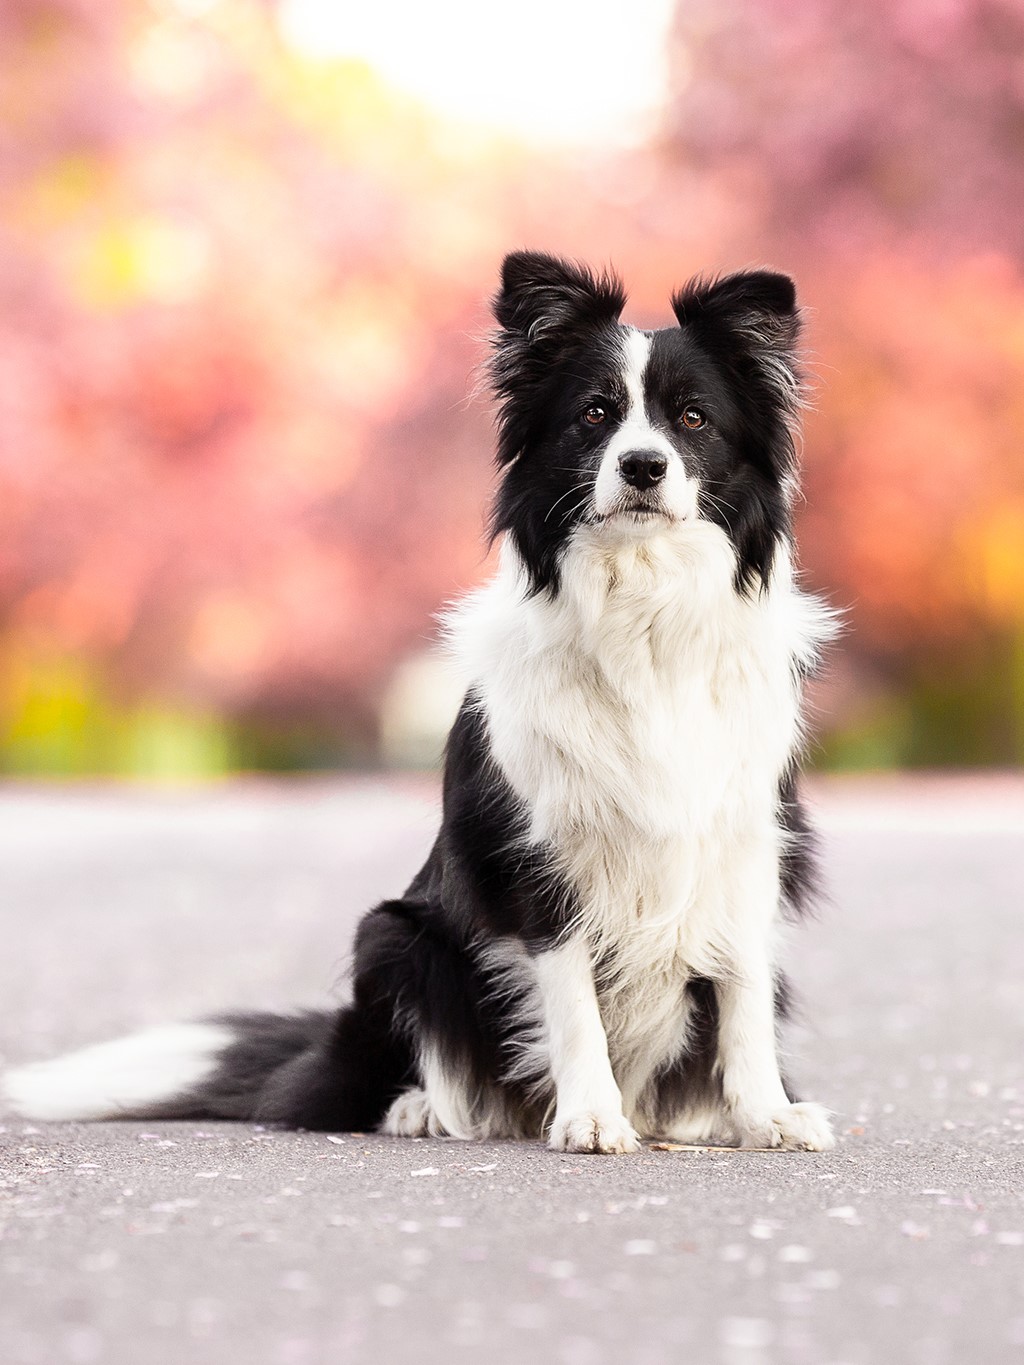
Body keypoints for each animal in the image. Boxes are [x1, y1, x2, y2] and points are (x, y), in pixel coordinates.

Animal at [4, 253, 835, 1152]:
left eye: (692, 418)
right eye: (594, 414)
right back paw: (425, 1108)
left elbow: (741, 995)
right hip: (394, 935)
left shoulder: (745, 838)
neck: (640, 609)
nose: (643, 465)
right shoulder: (534, 858)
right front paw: (588, 1115)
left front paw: (764, 1113)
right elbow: (572, 1002)